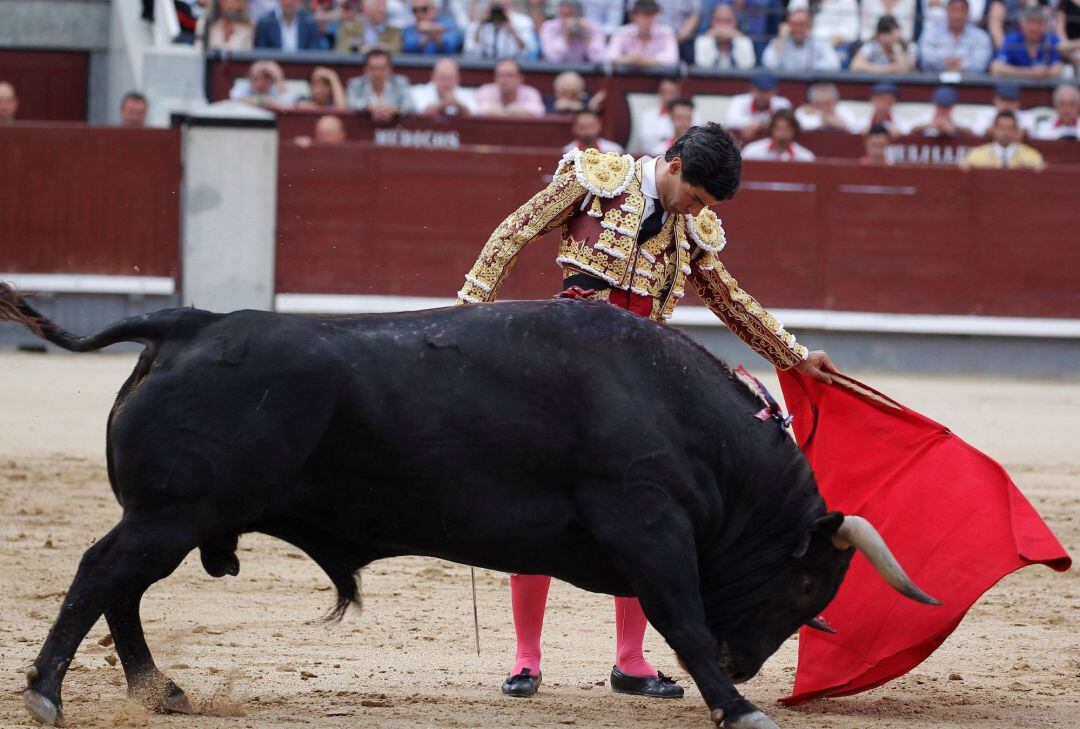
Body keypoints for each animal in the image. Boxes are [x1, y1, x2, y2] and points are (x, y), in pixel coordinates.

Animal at [0, 287, 933, 725]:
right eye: (808, 586)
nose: (748, 662)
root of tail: (189, 324)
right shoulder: (648, 523)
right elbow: (684, 618)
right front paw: (735, 704)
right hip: (170, 515)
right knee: (102, 574)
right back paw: (49, 692)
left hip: (172, 520)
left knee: (121, 588)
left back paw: (158, 690)